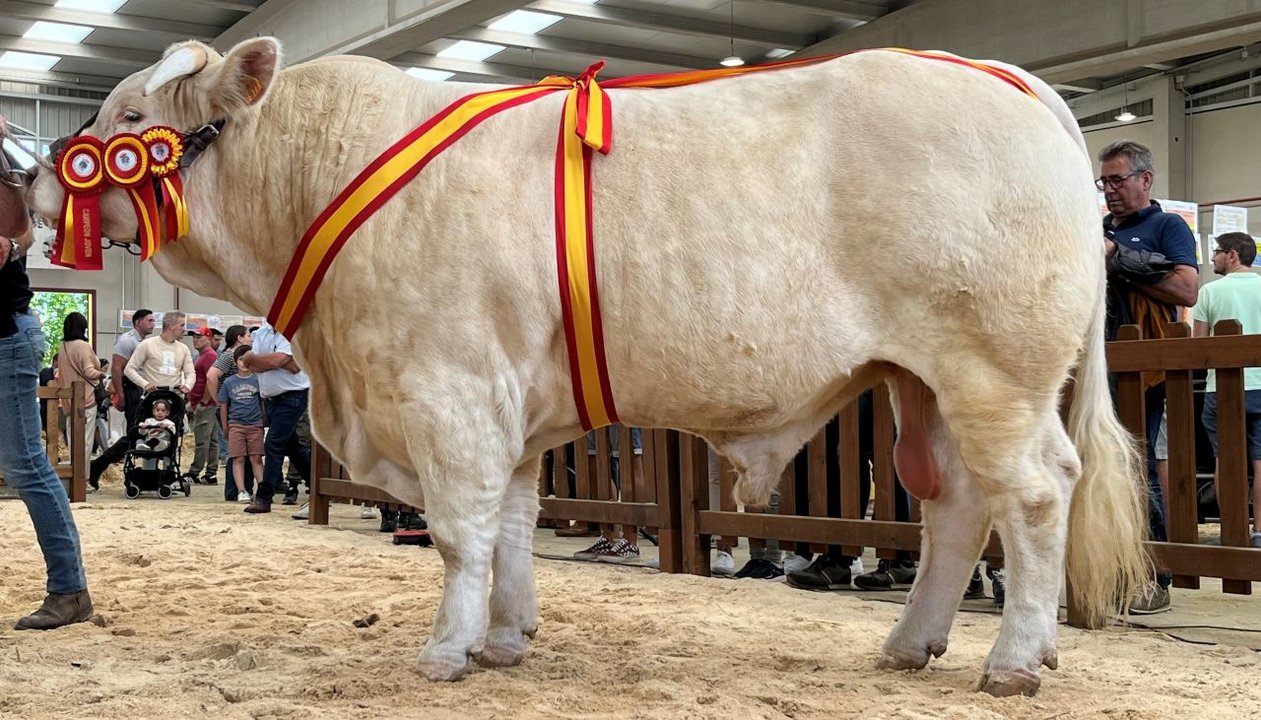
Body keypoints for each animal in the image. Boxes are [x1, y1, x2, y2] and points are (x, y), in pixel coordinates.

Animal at [31, 37, 1155, 701]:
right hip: (919, 380)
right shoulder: (510, 408)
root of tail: (1002, 75)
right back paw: (914, 643)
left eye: (126, 124)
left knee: (1034, 495)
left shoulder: (449, 391)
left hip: (991, 369)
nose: (43, 176)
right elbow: (514, 523)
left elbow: (460, 531)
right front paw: (506, 638)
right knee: (956, 504)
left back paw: (1013, 660)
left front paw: (445, 651)